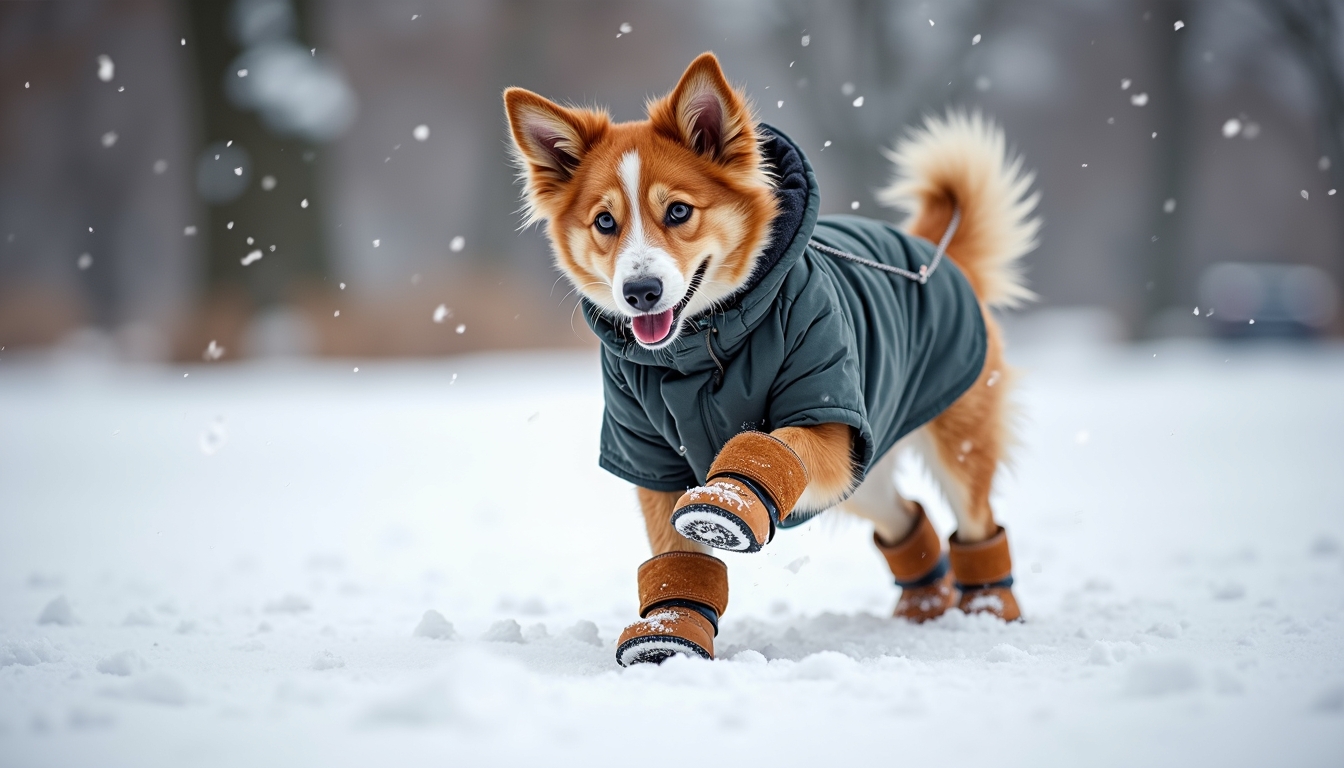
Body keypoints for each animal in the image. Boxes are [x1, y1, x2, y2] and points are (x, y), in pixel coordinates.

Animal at [505, 52, 1037, 667]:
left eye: (679, 211)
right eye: (605, 222)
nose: (640, 291)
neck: (702, 349)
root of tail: (932, 254)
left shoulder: (829, 413)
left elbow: (780, 442)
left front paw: (731, 497)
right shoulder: (649, 456)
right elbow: (677, 557)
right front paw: (669, 634)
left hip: (951, 440)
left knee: (976, 521)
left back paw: (987, 613)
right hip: (865, 475)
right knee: (905, 516)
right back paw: (923, 606)